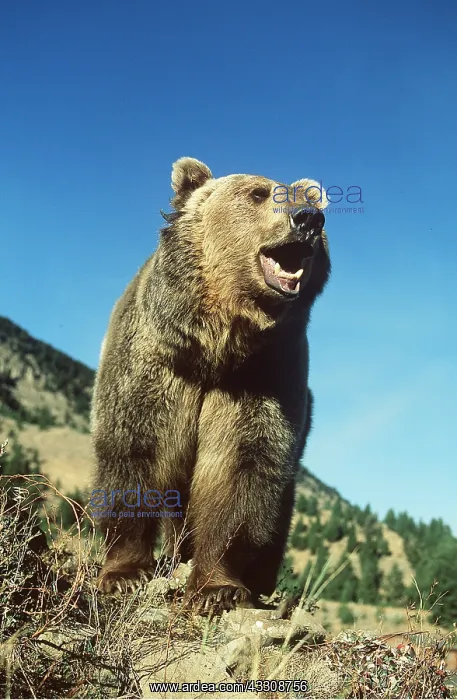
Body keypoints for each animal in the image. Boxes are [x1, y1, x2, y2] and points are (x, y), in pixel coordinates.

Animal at [90, 157, 331, 612]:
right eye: (258, 193)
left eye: (299, 196)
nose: (309, 218)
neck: (217, 343)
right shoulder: (156, 360)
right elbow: (136, 448)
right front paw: (124, 574)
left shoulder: (262, 377)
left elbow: (240, 469)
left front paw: (219, 587)